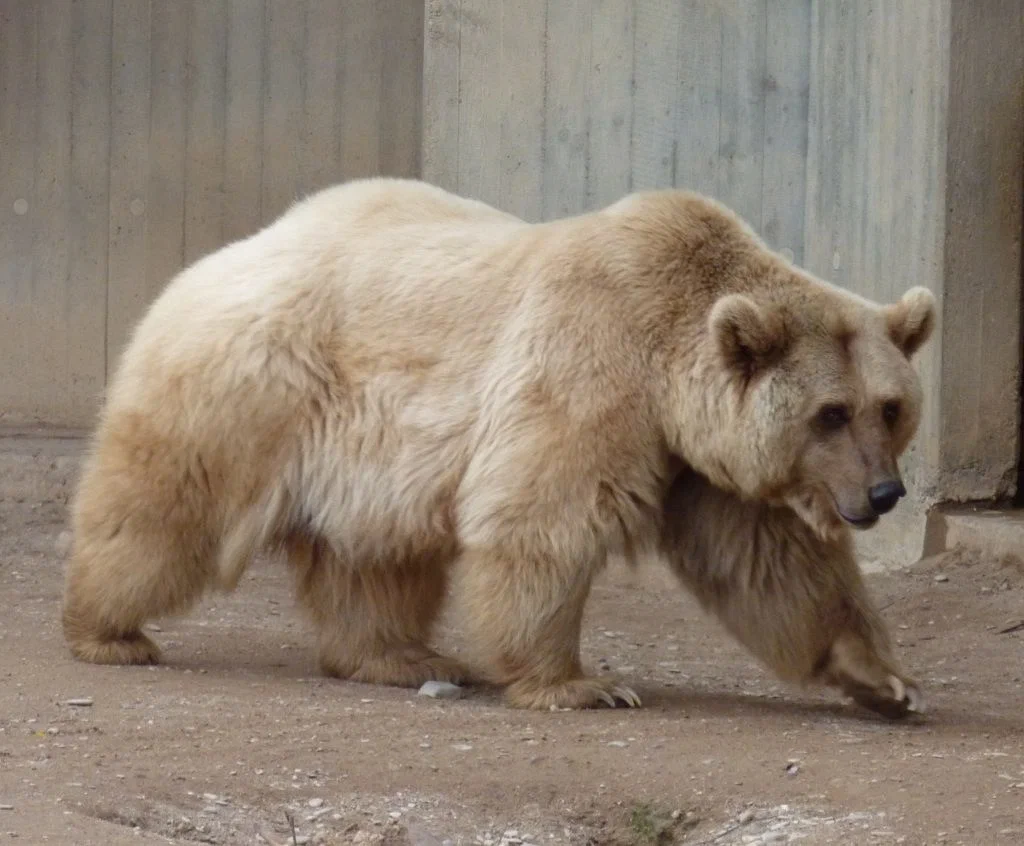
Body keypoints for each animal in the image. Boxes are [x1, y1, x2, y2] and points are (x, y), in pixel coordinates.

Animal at [59, 176, 933, 712]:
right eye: (831, 412)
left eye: (889, 408)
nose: (883, 493)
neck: (669, 363)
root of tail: (215, 258)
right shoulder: (592, 368)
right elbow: (544, 518)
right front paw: (582, 684)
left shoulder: (698, 460)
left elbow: (771, 562)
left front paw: (884, 679)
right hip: (252, 386)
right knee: (164, 508)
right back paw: (106, 629)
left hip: (370, 453)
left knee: (374, 558)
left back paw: (402, 655)